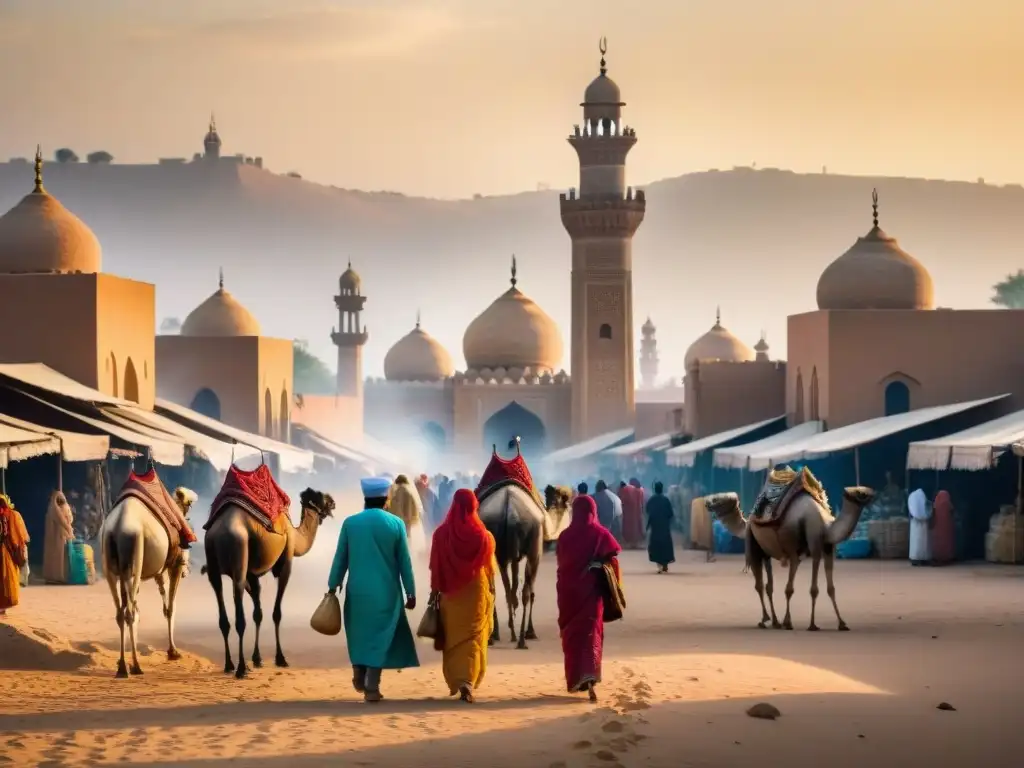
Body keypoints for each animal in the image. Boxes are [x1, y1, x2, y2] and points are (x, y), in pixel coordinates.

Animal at [101, 487, 199, 679]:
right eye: (188, 522)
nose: (187, 569)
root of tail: (117, 528)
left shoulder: (155, 572)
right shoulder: (174, 565)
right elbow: (170, 608)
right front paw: (173, 651)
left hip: (111, 564)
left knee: (121, 612)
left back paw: (122, 666)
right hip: (134, 556)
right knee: (130, 612)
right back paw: (135, 666)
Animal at [203, 487, 335, 679]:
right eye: (321, 497)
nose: (333, 501)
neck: (295, 533)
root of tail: (217, 533)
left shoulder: (252, 574)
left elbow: (258, 613)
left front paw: (257, 659)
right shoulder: (287, 559)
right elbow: (276, 613)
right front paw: (281, 658)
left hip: (212, 560)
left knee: (222, 609)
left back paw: (229, 665)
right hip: (239, 550)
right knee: (239, 611)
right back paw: (241, 668)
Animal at [704, 473, 880, 634]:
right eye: (862, 493)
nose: (707, 502)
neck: (826, 527)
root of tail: (749, 520)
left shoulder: (827, 549)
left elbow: (830, 588)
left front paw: (842, 623)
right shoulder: (806, 548)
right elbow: (800, 589)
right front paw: (798, 623)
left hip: (765, 550)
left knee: (768, 586)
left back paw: (774, 621)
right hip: (754, 544)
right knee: (759, 585)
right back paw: (765, 619)